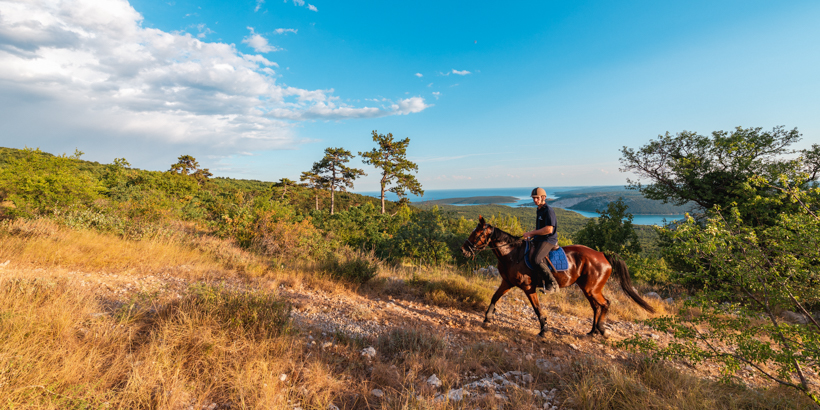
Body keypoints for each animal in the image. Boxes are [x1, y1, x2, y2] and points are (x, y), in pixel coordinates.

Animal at [458, 216, 656, 338]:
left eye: (477, 234)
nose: (463, 250)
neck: (512, 254)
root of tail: (603, 255)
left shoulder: (528, 287)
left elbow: (537, 309)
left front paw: (544, 330)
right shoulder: (507, 282)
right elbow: (494, 297)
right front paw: (487, 319)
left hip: (592, 288)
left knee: (605, 304)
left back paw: (602, 330)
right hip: (587, 288)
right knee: (596, 307)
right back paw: (592, 331)